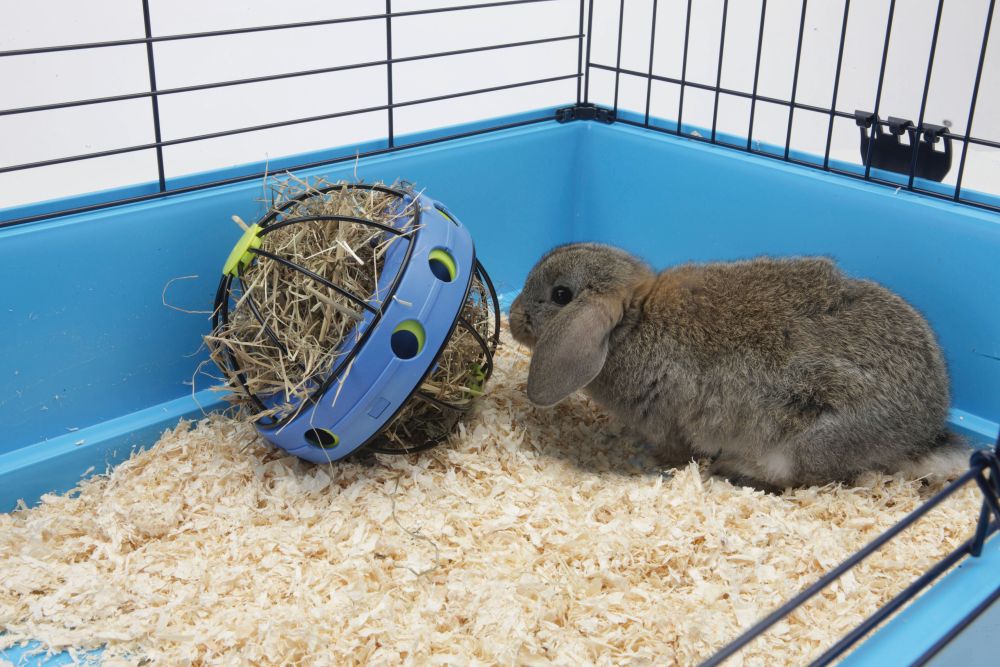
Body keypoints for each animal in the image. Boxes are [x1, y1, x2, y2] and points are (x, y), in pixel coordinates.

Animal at [509, 242, 970, 491]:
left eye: (561, 295)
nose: (513, 318)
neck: (634, 320)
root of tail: (921, 433)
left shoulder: (668, 424)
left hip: (811, 440)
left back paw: (729, 471)